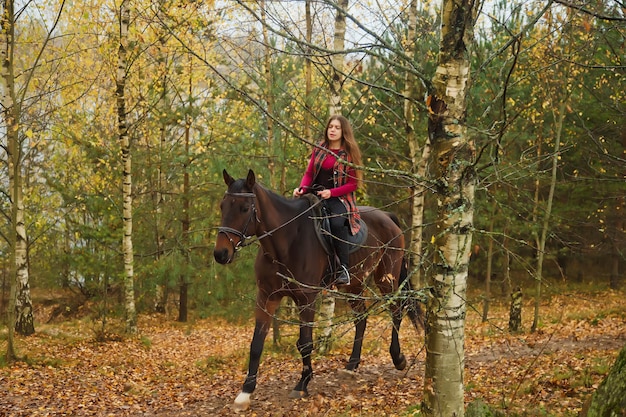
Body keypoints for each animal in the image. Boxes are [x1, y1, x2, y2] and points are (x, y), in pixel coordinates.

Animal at [212, 168, 422, 410]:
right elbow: (256, 344)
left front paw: (302, 384)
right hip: (354, 284)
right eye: (223, 206)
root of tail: (387, 216)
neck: (286, 240)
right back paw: (352, 365)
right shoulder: (266, 297)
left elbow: (305, 343)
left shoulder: (307, 299)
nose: (221, 254)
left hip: (386, 277)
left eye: (245, 208)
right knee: (361, 318)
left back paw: (398, 358)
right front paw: (245, 392)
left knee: (396, 310)